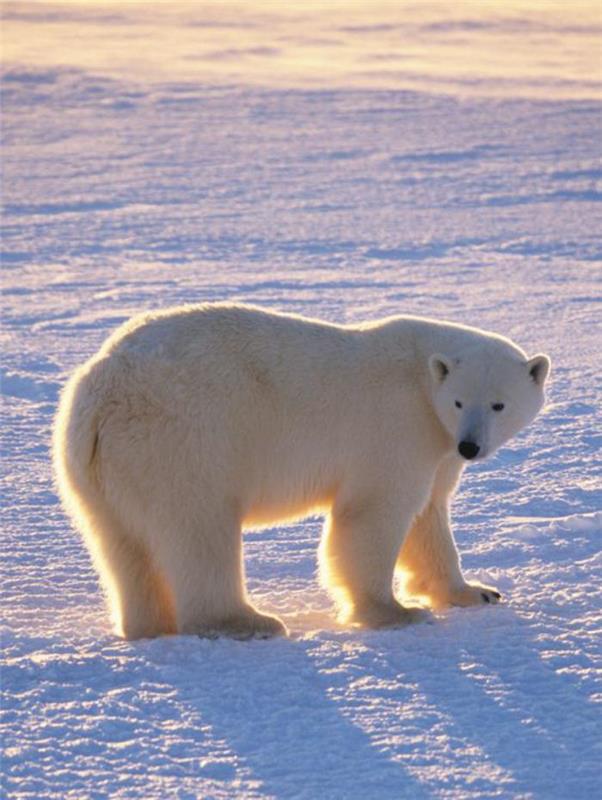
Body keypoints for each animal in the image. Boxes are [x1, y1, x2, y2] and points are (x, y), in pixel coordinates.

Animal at [52, 304, 548, 640]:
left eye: (499, 404)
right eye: (461, 401)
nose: (471, 446)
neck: (423, 381)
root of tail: (100, 395)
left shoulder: (436, 447)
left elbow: (429, 516)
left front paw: (476, 592)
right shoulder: (397, 427)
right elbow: (375, 513)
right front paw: (394, 612)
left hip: (101, 470)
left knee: (122, 545)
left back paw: (148, 626)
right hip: (185, 441)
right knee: (200, 531)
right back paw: (248, 621)